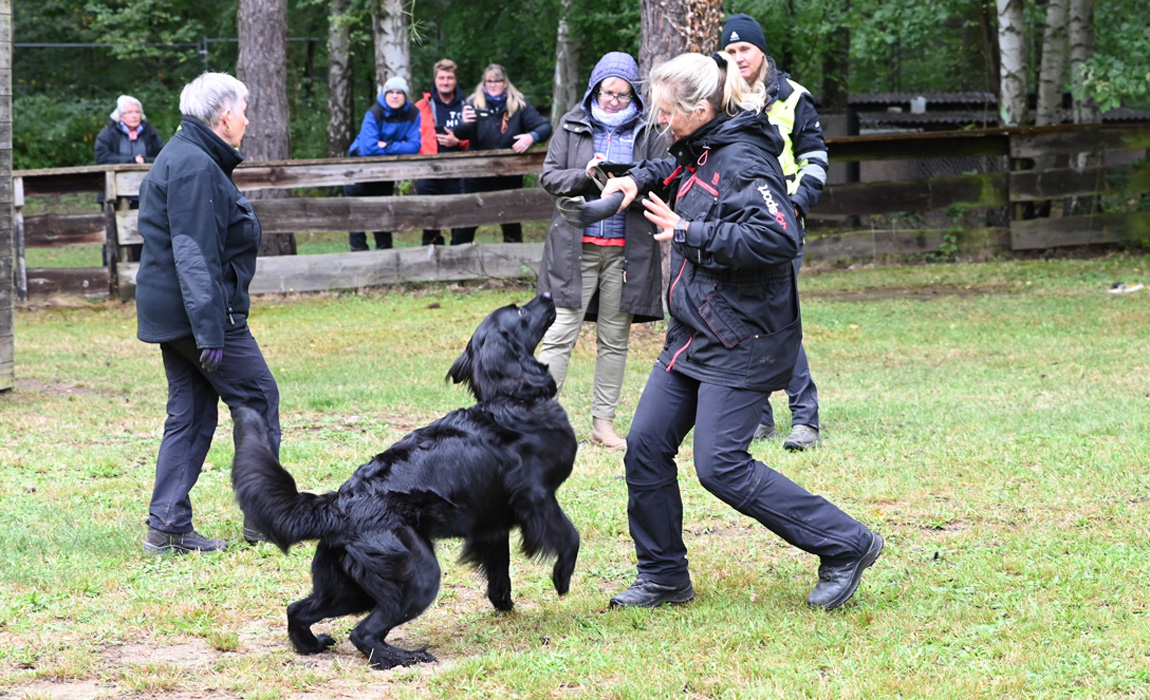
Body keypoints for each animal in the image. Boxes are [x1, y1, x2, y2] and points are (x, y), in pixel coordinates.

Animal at [232, 291, 579, 666]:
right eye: (519, 312)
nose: (548, 294)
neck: (510, 398)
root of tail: (338, 504)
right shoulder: (536, 496)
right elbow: (570, 537)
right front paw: (561, 579)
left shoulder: (493, 522)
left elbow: (500, 568)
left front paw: (503, 603)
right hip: (417, 576)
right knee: (363, 632)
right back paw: (405, 657)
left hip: (348, 589)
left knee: (297, 610)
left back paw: (312, 645)